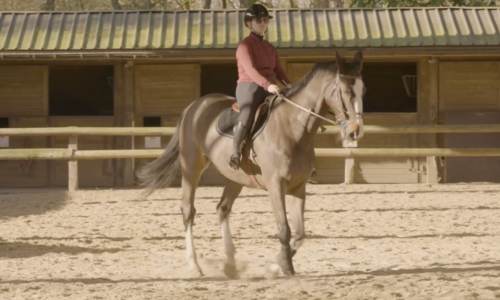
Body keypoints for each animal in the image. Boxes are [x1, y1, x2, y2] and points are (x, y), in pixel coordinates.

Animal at [137, 50, 364, 278]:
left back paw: (230, 264)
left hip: (235, 177)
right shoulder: (276, 185)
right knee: (188, 210)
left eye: (364, 90)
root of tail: (194, 107)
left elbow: (300, 234)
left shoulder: (299, 187)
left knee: (223, 208)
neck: (291, 128)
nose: (356, 130)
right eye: (345, 91)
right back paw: (194, 265)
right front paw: (284, 266)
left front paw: (276, 264)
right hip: (191, 168)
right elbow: (284, 229)